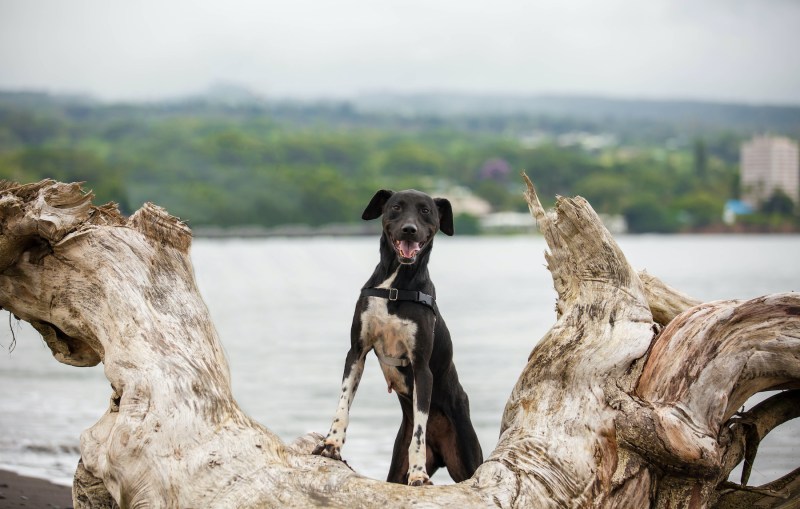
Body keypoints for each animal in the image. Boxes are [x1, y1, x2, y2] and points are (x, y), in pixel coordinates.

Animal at [312, 188, 482, 484]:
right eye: (396, 207)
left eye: (426, 211)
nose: (409, 230)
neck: (396, 286)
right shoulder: (356, 352)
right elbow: (343, 405)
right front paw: (331, 444)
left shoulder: (421, 367)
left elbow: (419, 433)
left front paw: (418, 474)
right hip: (395, 469)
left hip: (468, 458)